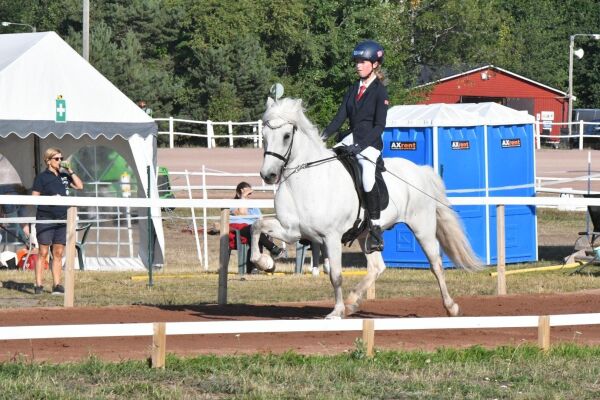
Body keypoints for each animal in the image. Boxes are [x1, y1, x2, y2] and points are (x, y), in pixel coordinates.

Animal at [251, 97, 480, 318]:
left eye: (286, 136)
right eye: (264, 135)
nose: (268, 175)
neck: (305, 179)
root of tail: (420, 170)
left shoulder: (331, 237)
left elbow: (336, 275)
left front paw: (336, 312)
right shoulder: (292, 231)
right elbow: (256, 226)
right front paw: (265, 262)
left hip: (422, 227)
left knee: (436, 265)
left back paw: (451, 307)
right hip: (365, 235)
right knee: (377, 267)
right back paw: (352, 302)